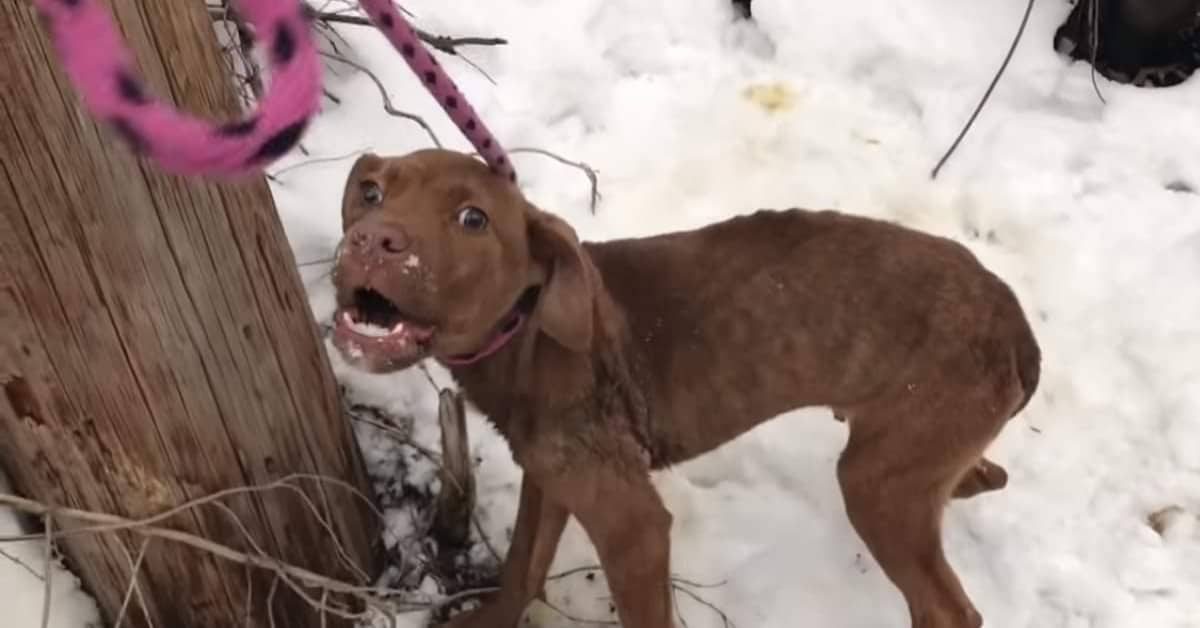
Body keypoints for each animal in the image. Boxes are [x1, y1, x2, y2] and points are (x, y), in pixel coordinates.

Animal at [328, 148, 1041, 628]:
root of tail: (1015, 325)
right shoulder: (552, 478)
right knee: (980, 479)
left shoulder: (633, 525)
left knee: (950, 608)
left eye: (473, 218)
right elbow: (520, 569)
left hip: (875, 484)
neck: (527, 334)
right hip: (905, 455)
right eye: (371, 192)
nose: (371, 240)